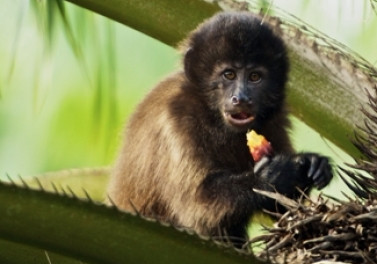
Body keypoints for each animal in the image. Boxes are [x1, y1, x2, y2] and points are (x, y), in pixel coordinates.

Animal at [106, 10, 332, 248]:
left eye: (254, 77)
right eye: (229, 75)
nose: (241, 98)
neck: (213, 116)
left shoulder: (275, 120)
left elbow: (285, 211)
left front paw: (311, 164)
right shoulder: (177, 118)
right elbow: (198, 208)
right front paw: (271, 177)